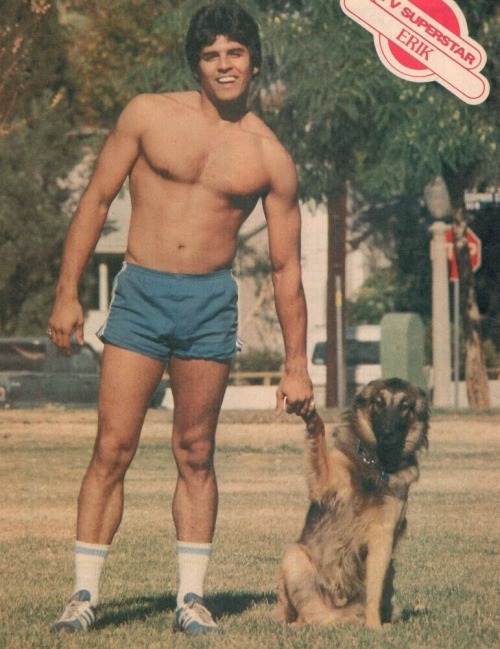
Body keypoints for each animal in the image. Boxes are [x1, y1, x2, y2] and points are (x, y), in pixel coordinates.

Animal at [276, 378, 428, 624]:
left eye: (405, 406)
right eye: (378, 403)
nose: (387, 434)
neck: (376, 465)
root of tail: (338, 614)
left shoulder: (382, 536)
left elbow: (374, 591)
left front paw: (374, 626)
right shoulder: (325, 481)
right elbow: (318, 433)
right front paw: (311, 414)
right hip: (294, 556)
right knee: (307, 615)